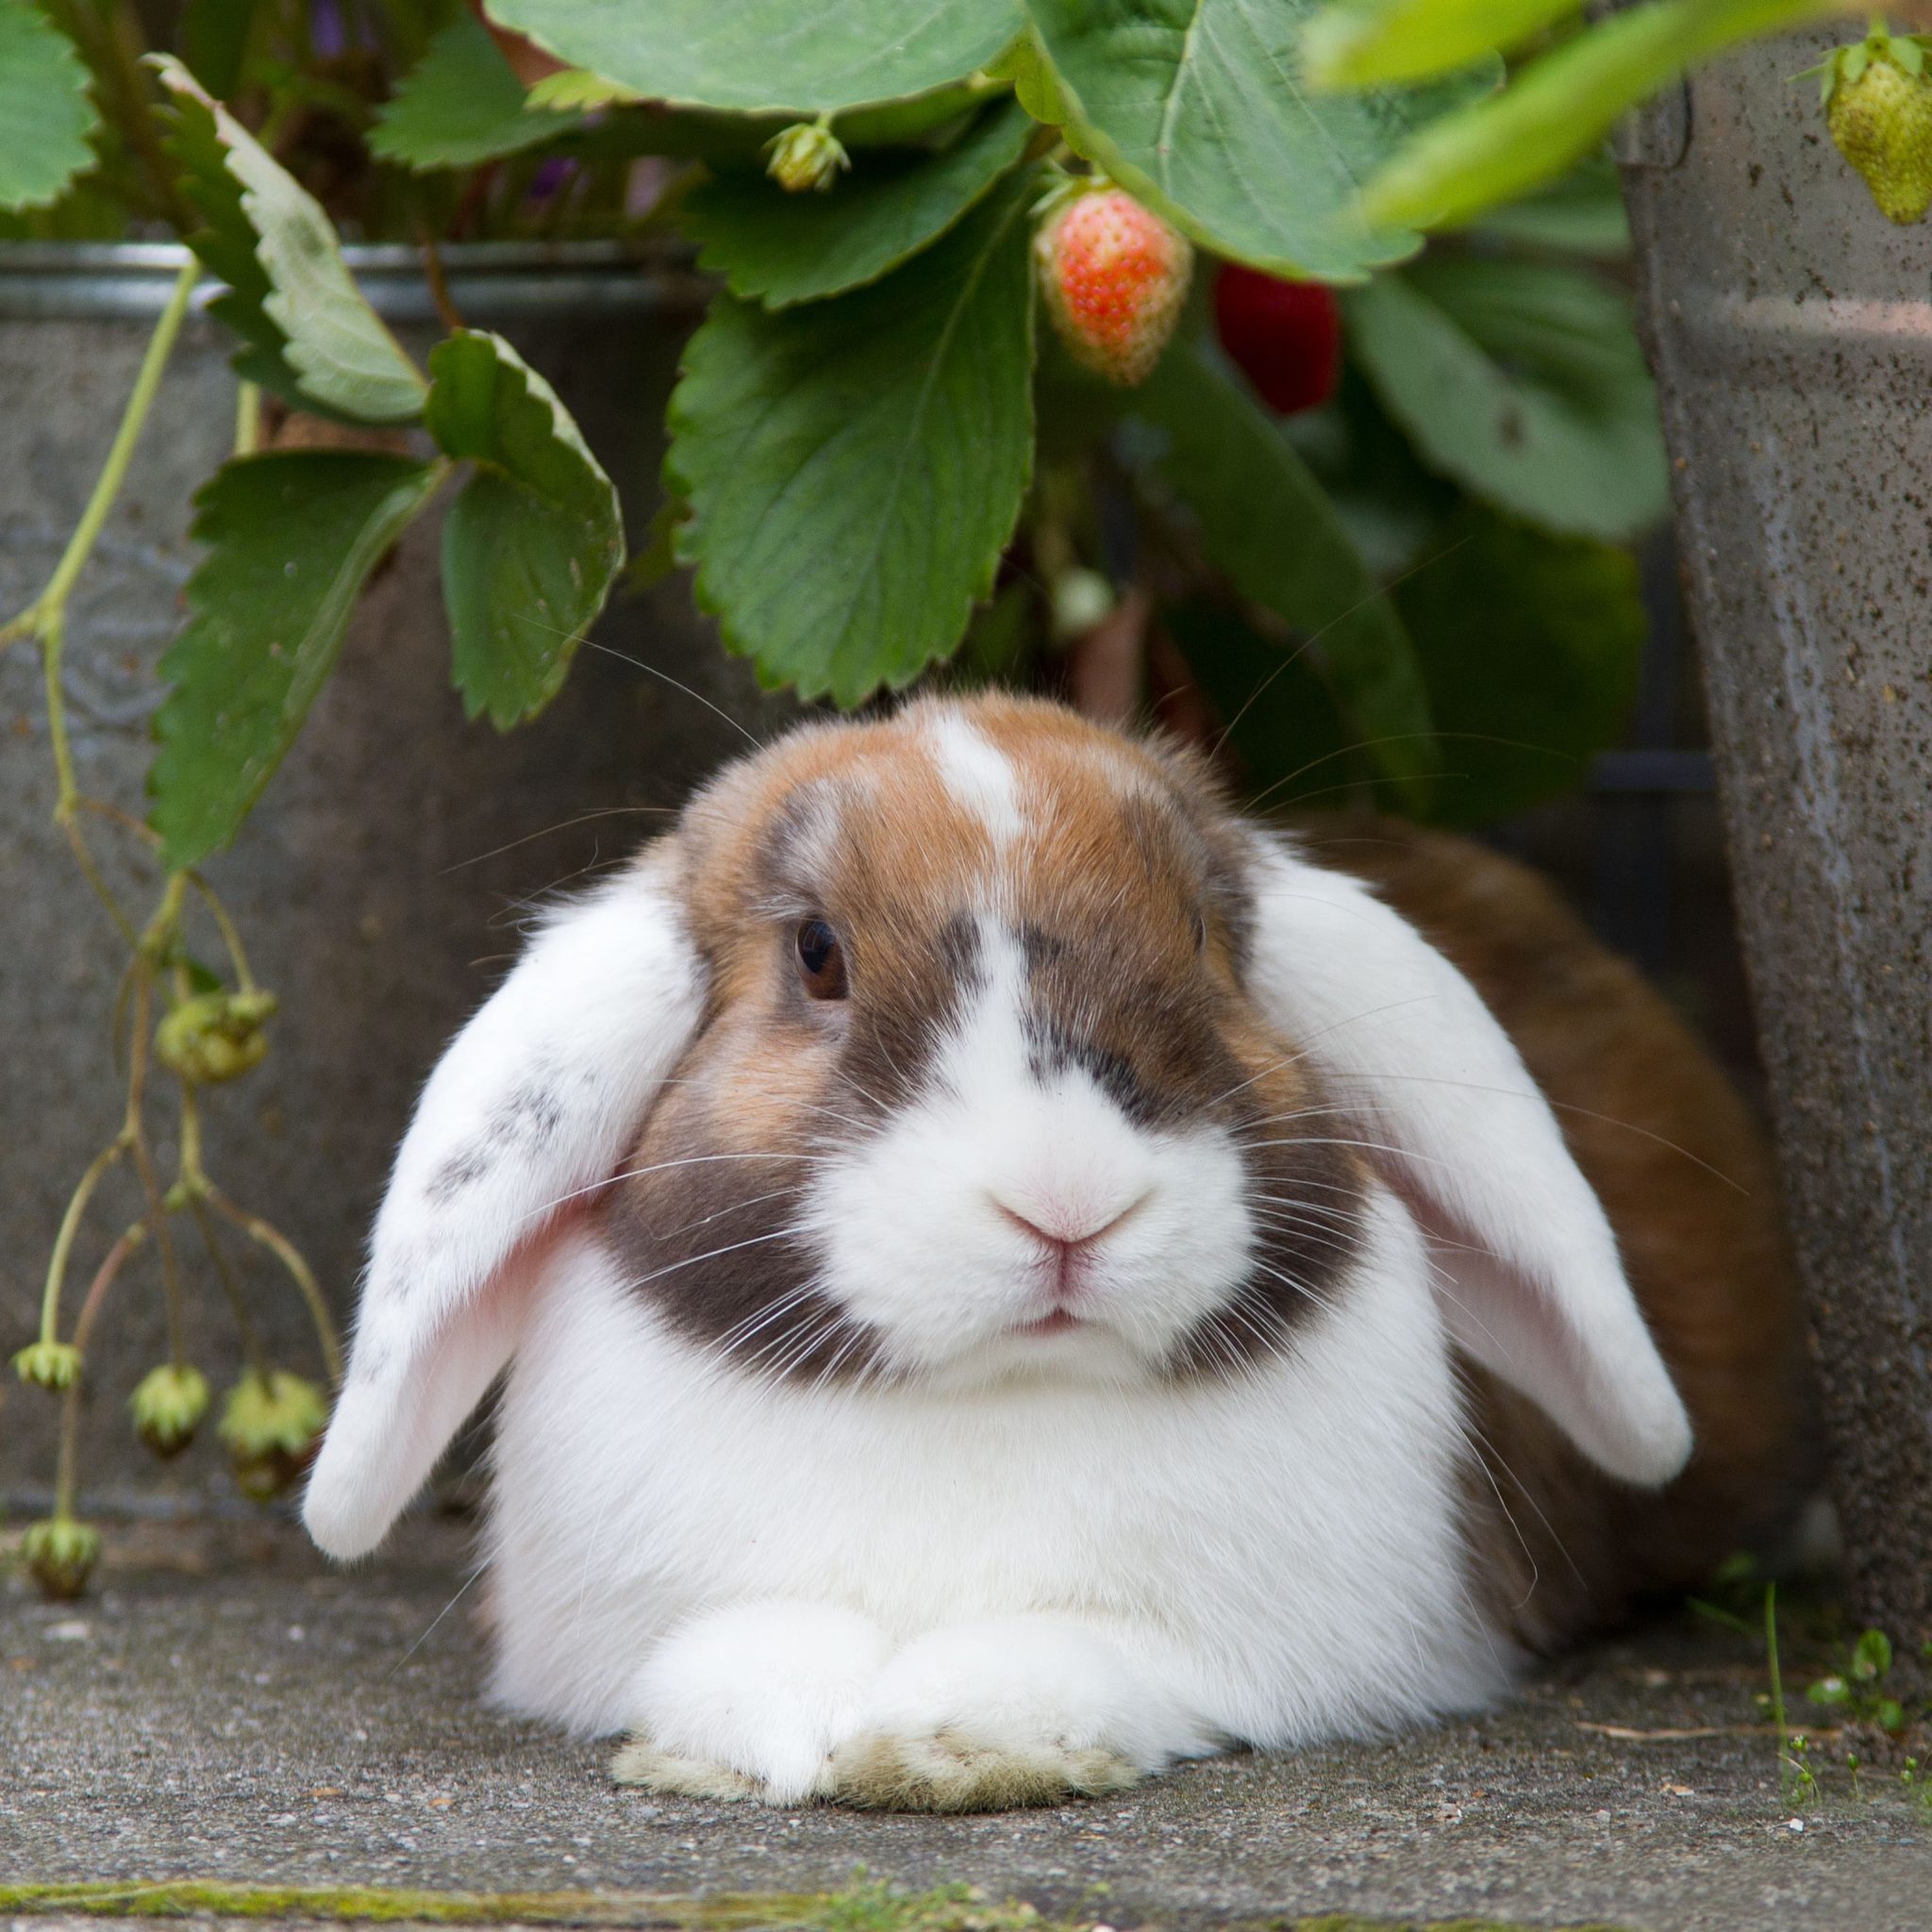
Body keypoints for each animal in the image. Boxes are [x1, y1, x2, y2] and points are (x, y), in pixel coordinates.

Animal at [302, 692, 1809, 1812]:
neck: (995, 1400)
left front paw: (943, 1737)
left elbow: (1088, 1660)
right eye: (818, 955)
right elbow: (736, 1655)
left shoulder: (1289, 1648)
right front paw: (793, 1728)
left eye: (1198, 938)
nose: (1066, 1200)